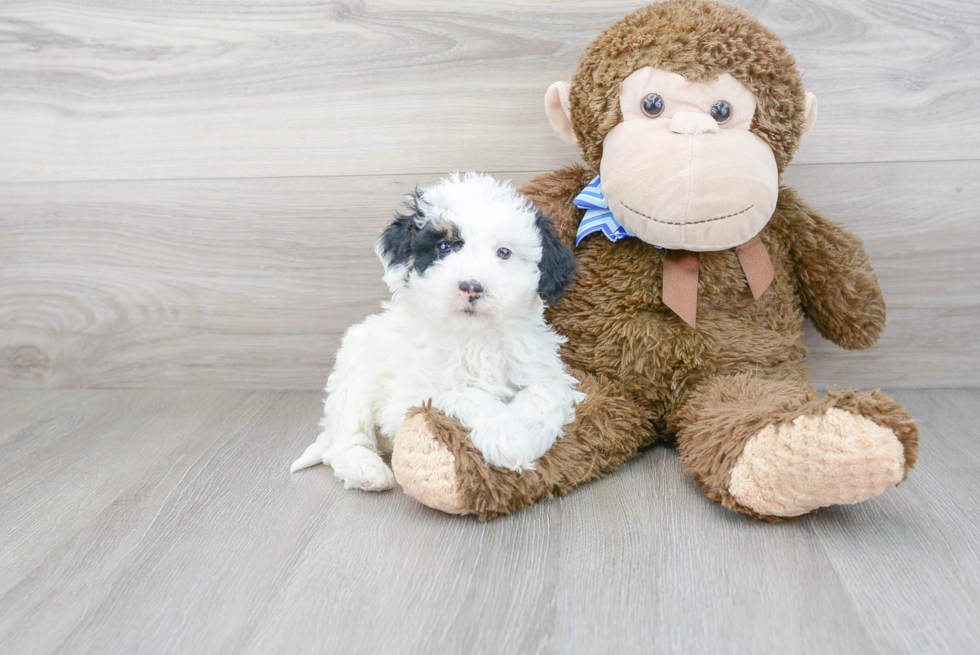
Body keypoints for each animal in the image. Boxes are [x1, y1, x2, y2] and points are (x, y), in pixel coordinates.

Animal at [290, 173, 580, 492]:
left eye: (504, 252)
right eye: (445, 247)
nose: (471, 286)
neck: (474, 337)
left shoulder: (541, 366)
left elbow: (550, 390)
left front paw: (528, 428)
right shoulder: (408, 398)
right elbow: (463, 392)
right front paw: (507, 436)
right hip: (354, 370)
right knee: (344, 437)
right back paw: (365, 469)